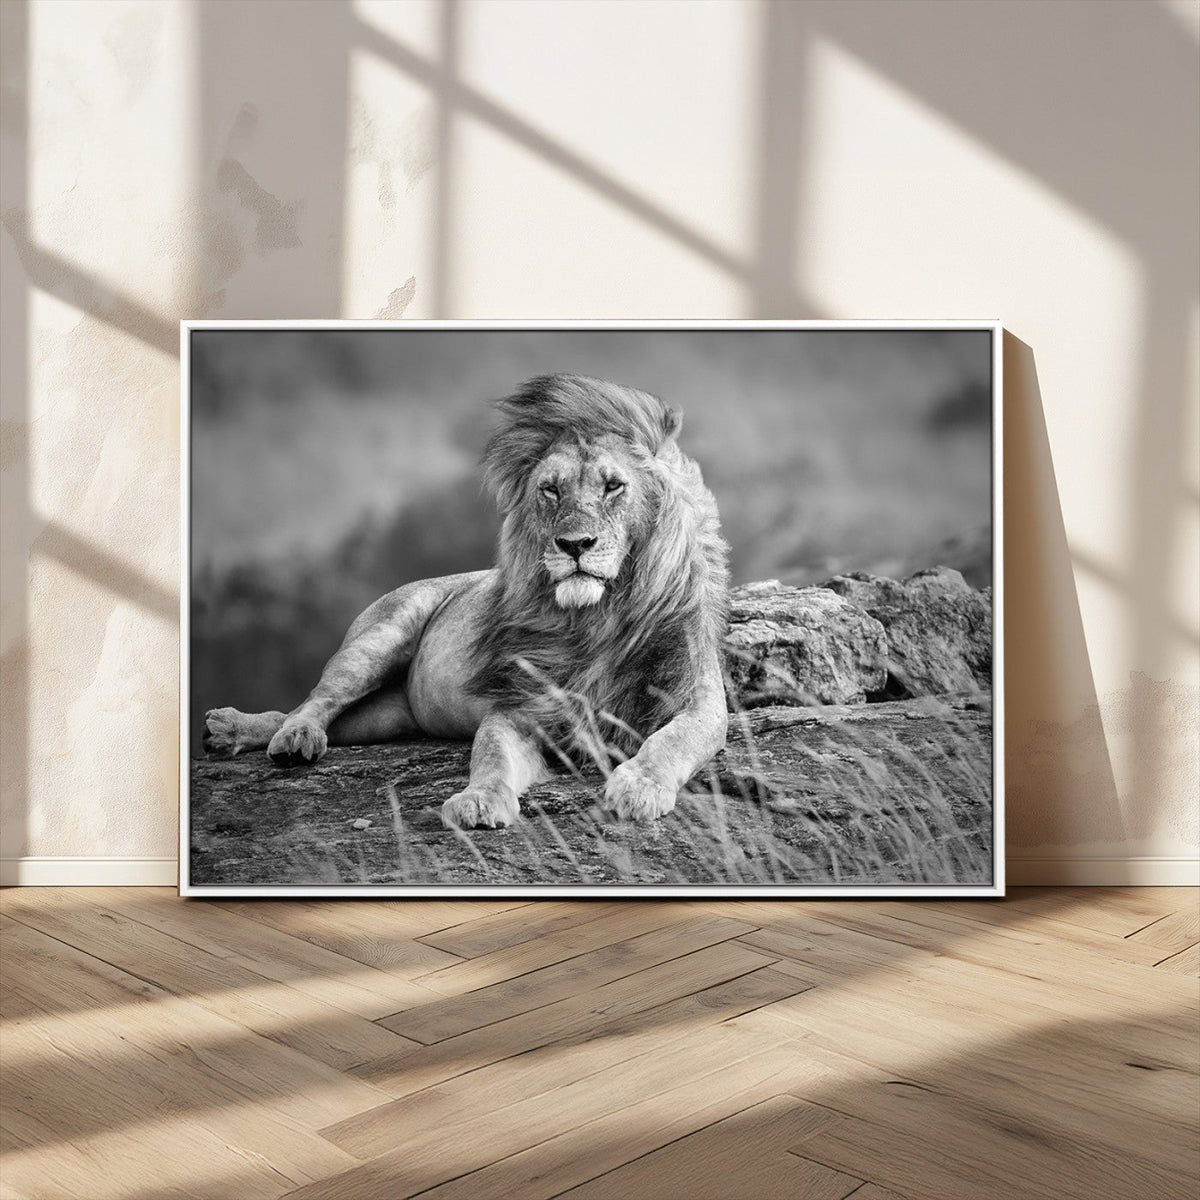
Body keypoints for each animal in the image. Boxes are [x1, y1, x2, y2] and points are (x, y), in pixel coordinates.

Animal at [202, 373, 730, 828]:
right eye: (550, 490)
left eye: (613, 485)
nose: (574, 545)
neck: (596, 618)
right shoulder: (519, 705)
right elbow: (491, 755)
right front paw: (478, 800)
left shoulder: (698, 699)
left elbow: (672, 741)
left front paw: (640, 786)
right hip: (378, 638)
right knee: (315, 701)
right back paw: (280, 736)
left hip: (385, 718)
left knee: (310, 714)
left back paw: (235, 731)